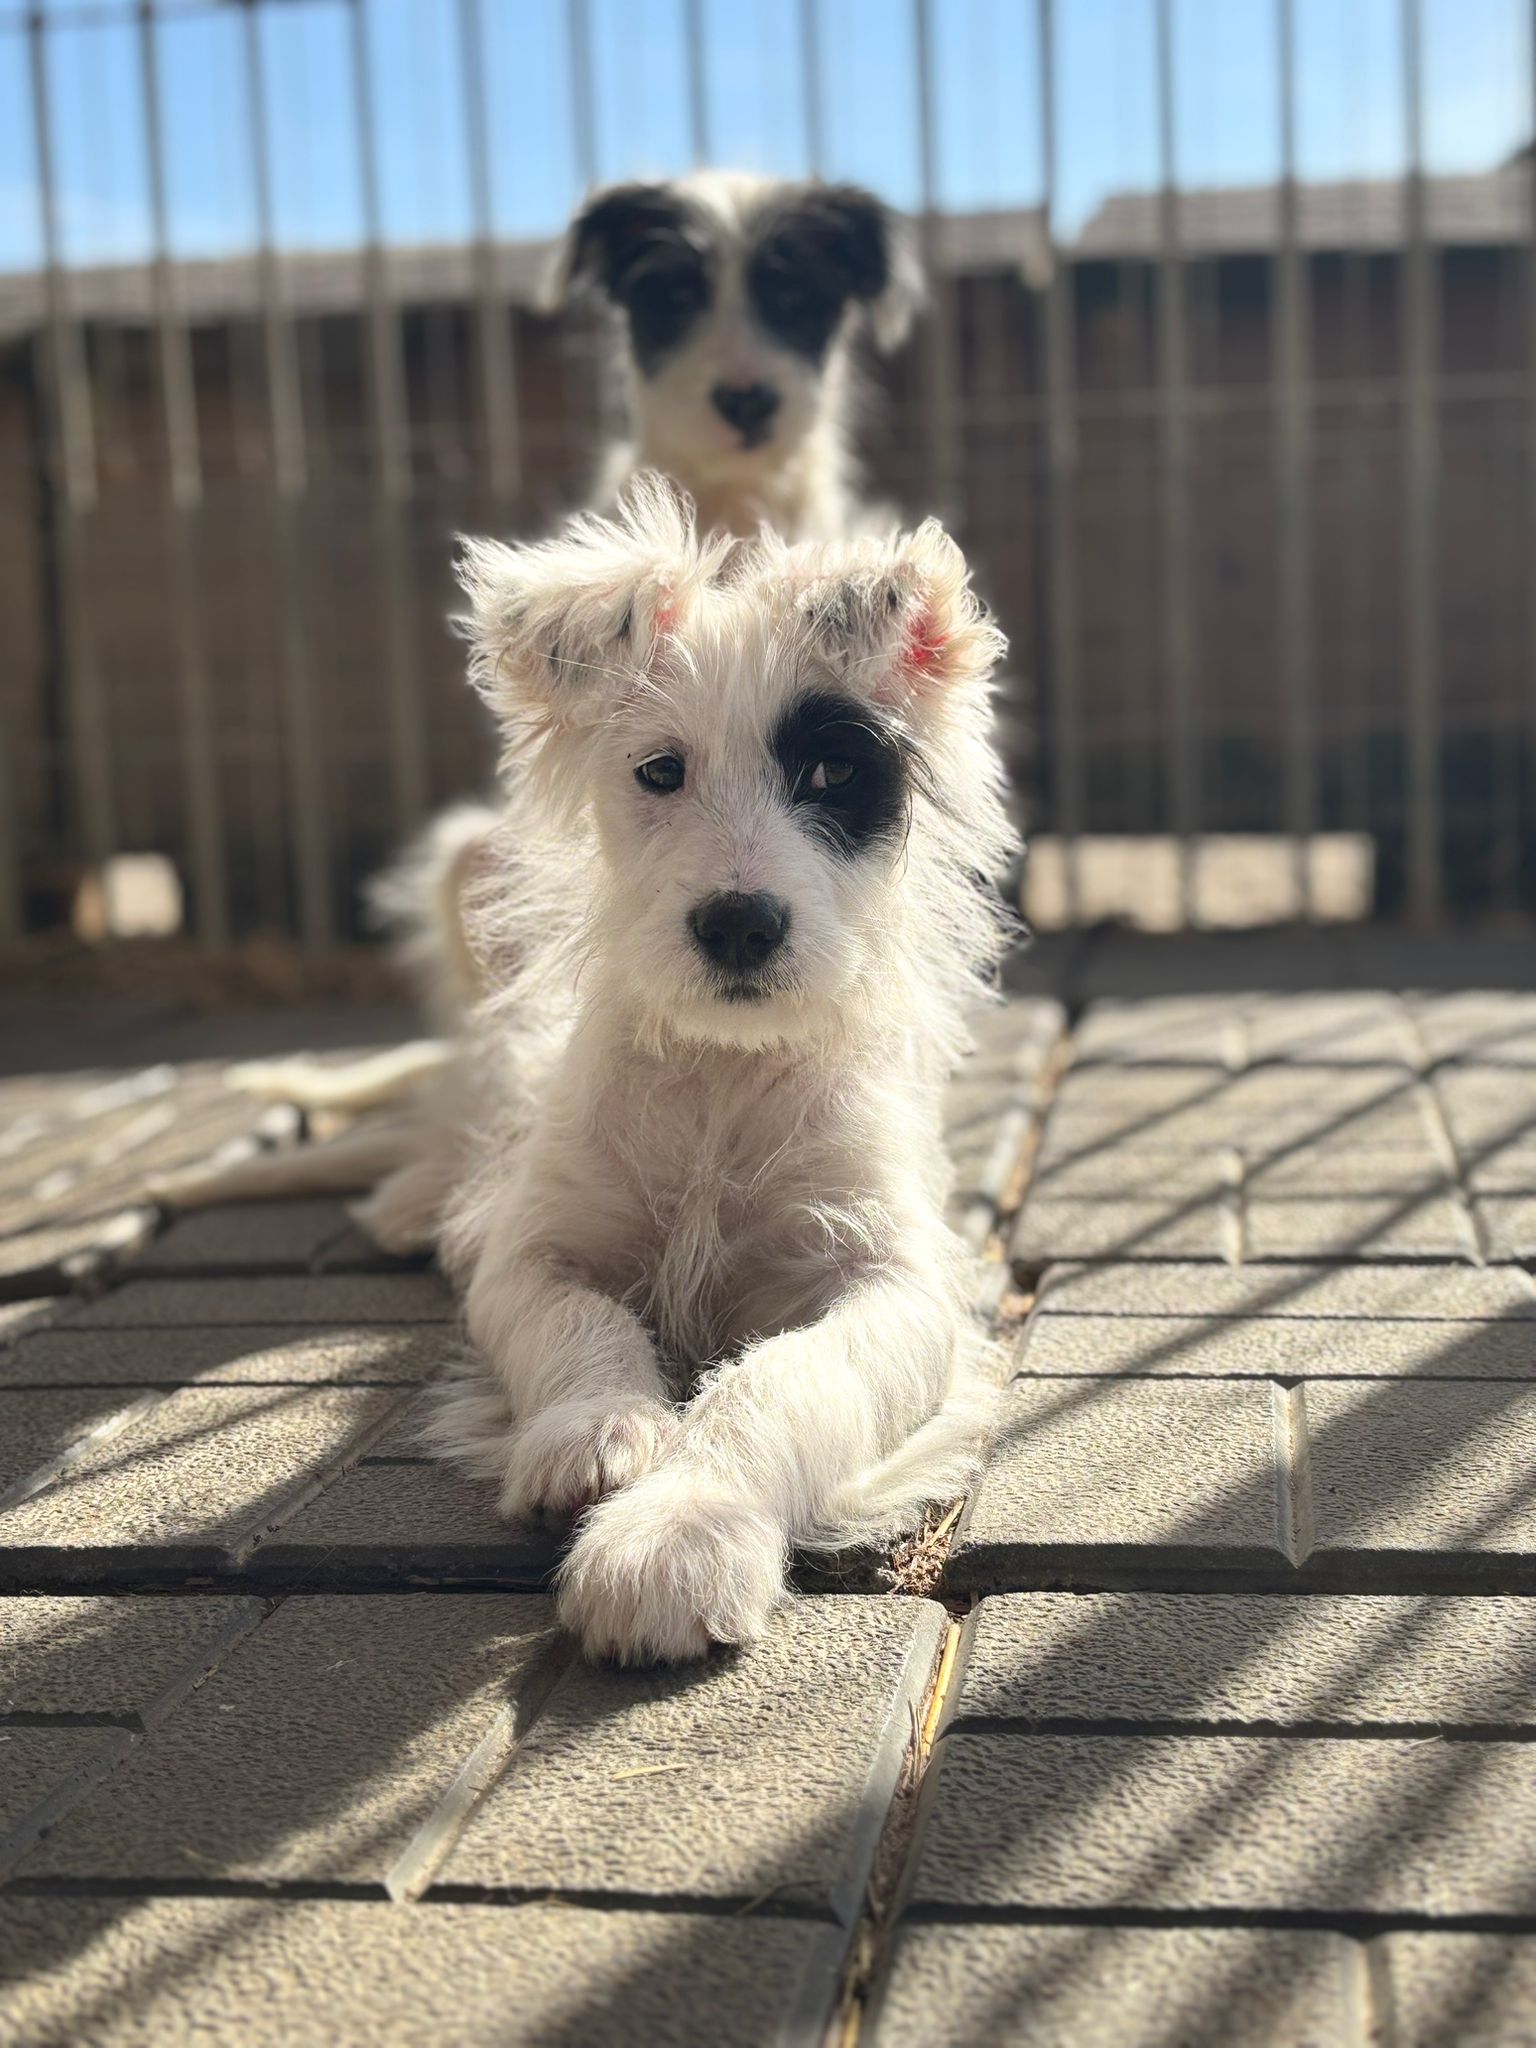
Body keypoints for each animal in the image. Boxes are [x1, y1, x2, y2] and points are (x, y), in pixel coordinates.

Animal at [430, 476, 1017, 1663]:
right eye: (660, 771)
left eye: (832, 771)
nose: (739, 922)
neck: (721, 1078)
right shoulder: (531, 1252)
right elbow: (585, 1327)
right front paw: (597, 1431)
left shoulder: (898, 1285)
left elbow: (785, 1378)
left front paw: (680, 1528)